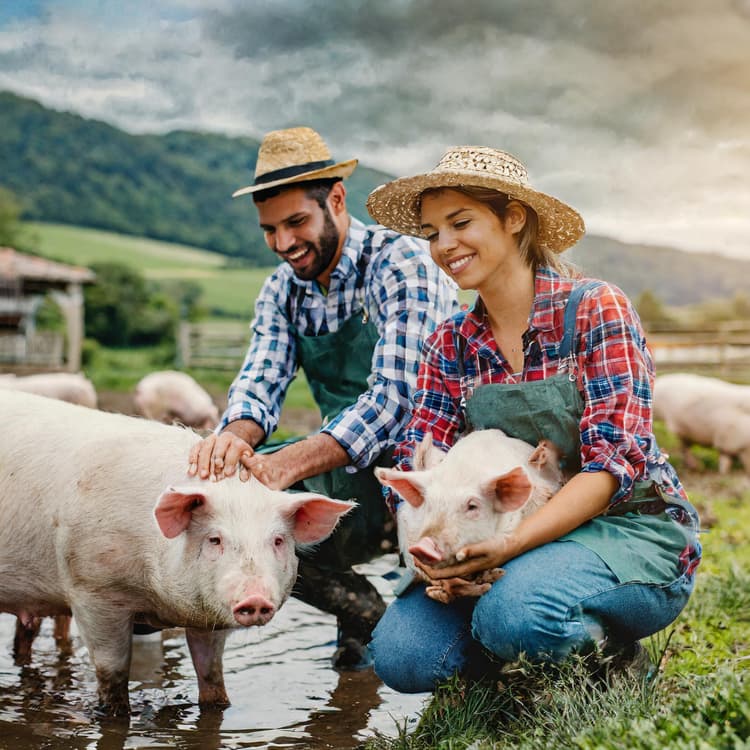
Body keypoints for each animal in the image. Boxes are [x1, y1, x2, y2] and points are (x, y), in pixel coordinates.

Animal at [0, 390, 356, 720]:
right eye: (215, 539)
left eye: (278, 541)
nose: (254, 598)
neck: (156, 598)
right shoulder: (92, 590)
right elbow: (112, 671)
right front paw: (115, 713)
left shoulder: (208, 616)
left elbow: (211, 674)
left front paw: (218, 708)